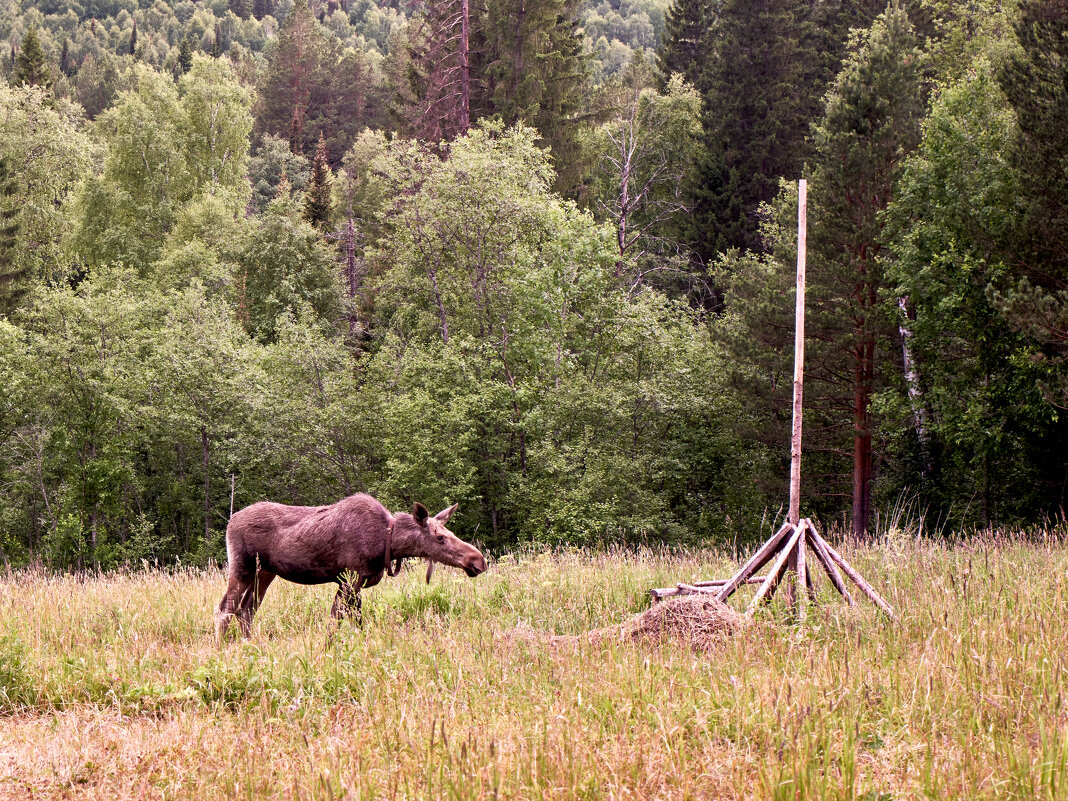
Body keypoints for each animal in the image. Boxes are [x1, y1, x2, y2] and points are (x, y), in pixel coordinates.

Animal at [214, 493, 487, 649]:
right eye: (440, 537)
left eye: (448, 532)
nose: (479, 560)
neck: (387, 542)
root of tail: (230, 521)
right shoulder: (349, 579)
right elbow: (337, 621)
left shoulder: (355, 584)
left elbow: (354, 622)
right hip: (242, 567)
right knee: (225, 608)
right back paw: (220, 650)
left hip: (265, 572)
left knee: (246, 610)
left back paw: (251, 646)